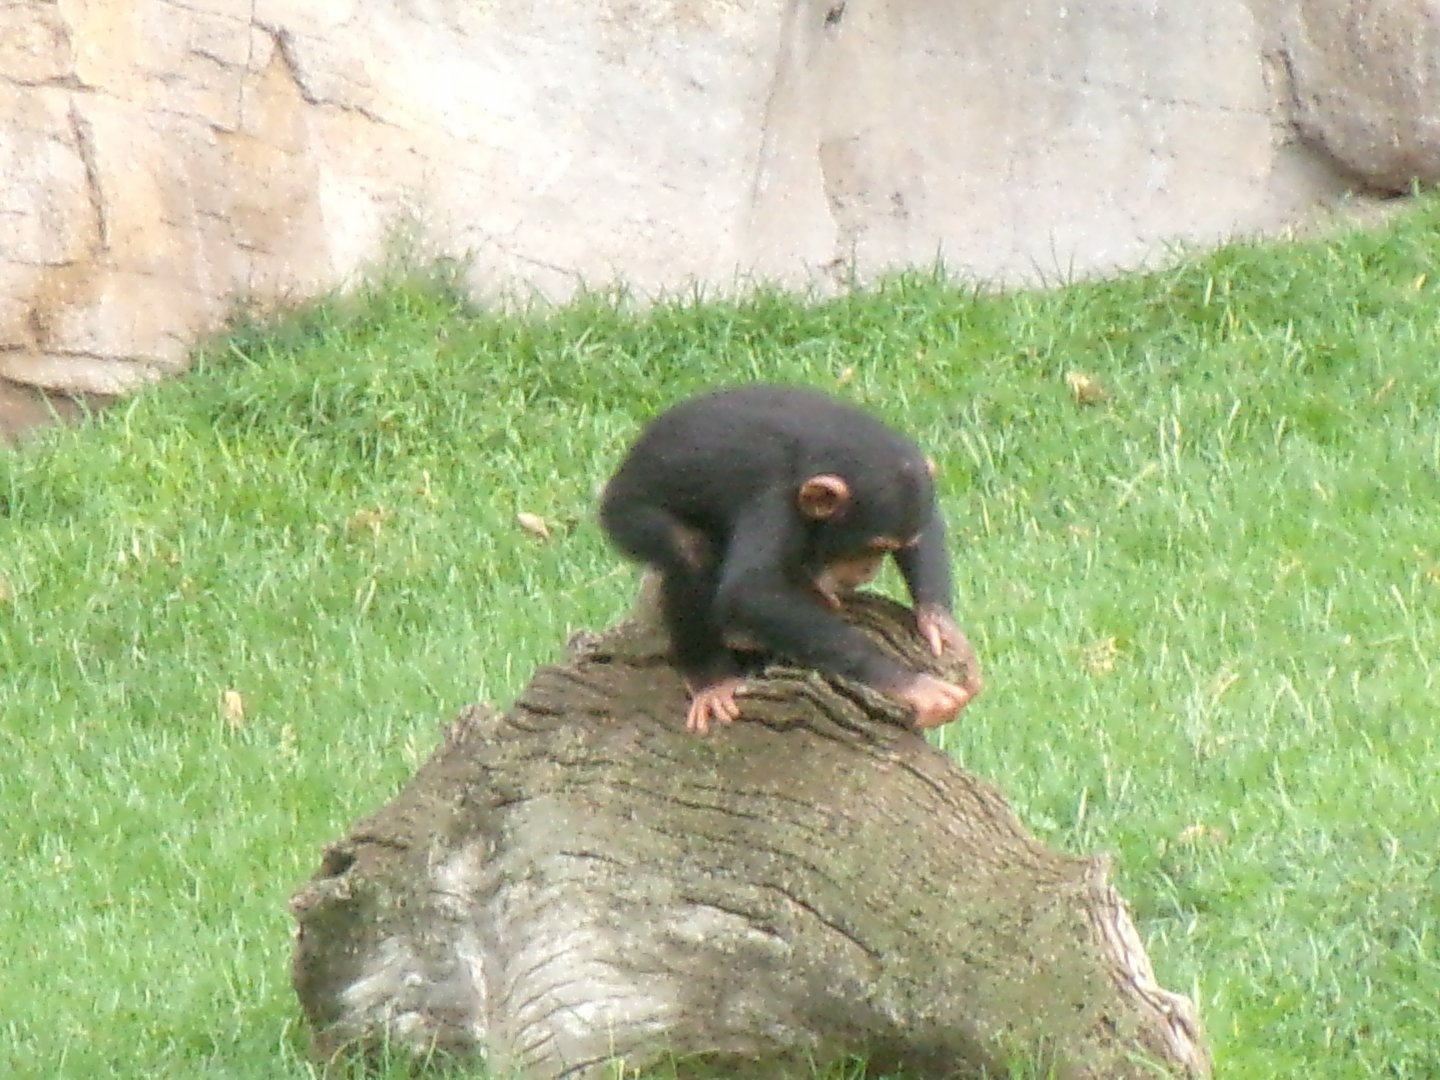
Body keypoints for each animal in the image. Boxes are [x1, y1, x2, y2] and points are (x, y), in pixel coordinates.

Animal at [598, 385, 983, 734]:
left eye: (886, 548)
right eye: (870, 547)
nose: (869, 567)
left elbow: (926, 524)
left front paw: (941, 626)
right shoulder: (773, 498)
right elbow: (750, 592)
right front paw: (911, 685)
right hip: (626, 514)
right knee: (690, 553)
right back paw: (710, 680)